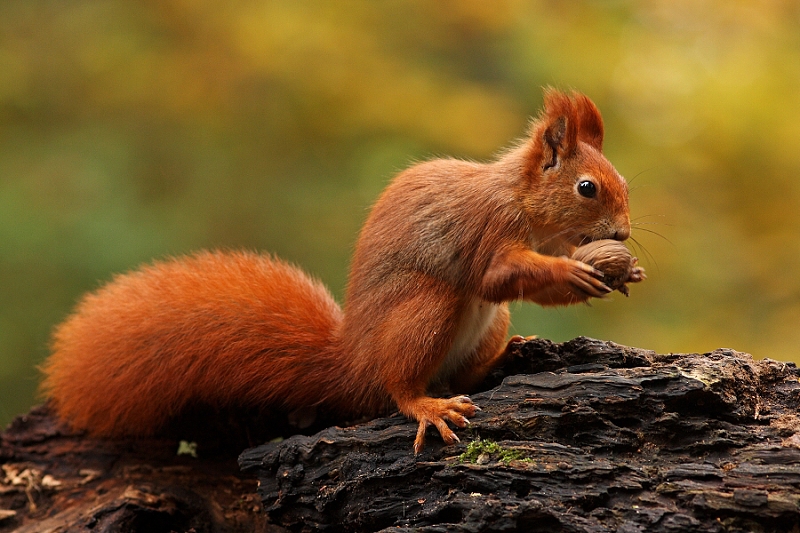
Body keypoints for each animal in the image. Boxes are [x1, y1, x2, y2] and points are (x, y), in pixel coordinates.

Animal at [40, 89, 642, 453]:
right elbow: (497, 276)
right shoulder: (486, 230)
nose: (622, 234)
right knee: (400, 386)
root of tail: (354, 363)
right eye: (587, 188)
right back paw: (425, 405)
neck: (523, 204)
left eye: (623, 183)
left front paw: (621, 271)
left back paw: (509, 355)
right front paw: (576, 273)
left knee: (465, 373)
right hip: (426, 310)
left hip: (489, 323)